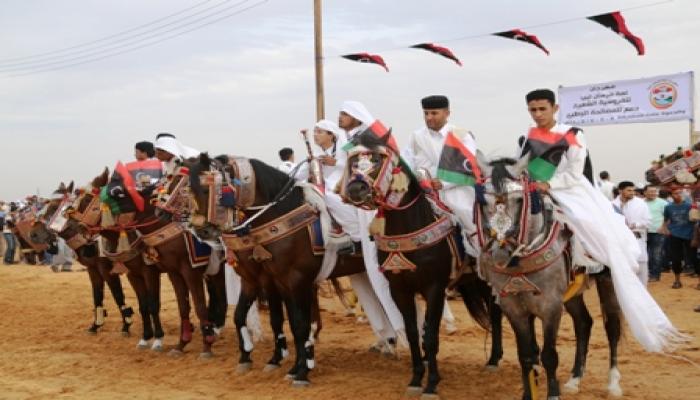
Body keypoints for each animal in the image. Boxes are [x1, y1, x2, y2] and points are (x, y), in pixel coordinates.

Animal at [28, 180, 136, 334]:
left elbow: (117, 294)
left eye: (54, 207)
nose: (33, 234)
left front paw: (126, 324)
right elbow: (97, 296)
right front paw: (96, 324)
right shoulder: (93, 269)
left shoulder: (107, 269)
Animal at [102, 166, 227, 356]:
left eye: (118, 192)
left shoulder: (188, 271)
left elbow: (198, 306)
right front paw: (181, 344)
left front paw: (206, 347)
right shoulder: (173, 272)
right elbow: (183, 307)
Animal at [175, 153, 366, 384]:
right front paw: (269, 361)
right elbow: (255, 317)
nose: (202, 232)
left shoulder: (296, 280)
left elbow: (299, 324)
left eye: (207, 190)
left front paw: (302, 372)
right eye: (189, 191)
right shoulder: (267, 280)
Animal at [340, 130, 492, 398]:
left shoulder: (435, 288)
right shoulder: (400, 289)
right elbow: (412, 332)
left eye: (378, 159)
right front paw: (416, 378)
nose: (356, 189)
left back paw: (495, 361)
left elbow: (430, 335)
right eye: (354, 162)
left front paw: (431, 383)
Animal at [476, 156, 624, 400]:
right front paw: (529, 394)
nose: (499, 253)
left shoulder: (551, 307)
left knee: (612, 327)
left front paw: (552, 393)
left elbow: (549, 355)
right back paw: (574, 379)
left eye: (519, 199)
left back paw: (613, 383)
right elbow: (526, 355)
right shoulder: (513, 308)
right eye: (481, 201)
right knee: (584, 323)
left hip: (608, 282)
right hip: (572, 292)